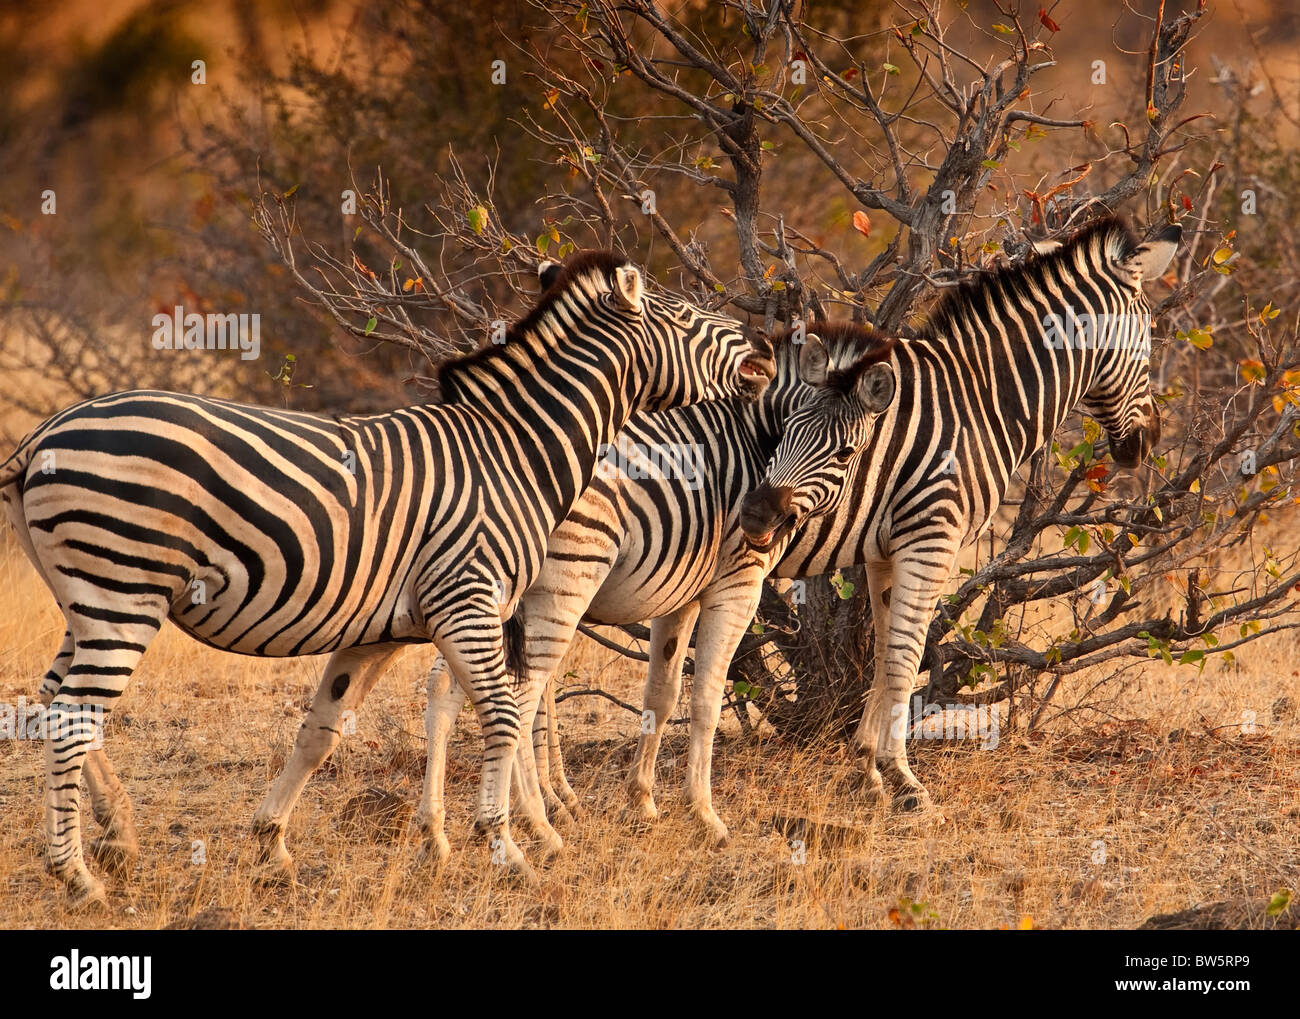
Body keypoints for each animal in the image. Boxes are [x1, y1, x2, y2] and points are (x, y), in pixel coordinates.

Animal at [0, 249, 774, 906]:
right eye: (686, 317)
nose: (766, 352)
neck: (514, 451)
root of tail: (44, 434)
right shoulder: (469, 599)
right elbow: (504, 712)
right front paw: (506, 848)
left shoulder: (381, 630)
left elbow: (322, 730)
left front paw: (272, 845)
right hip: (124, 589)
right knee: (74, 714)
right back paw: (77, 876)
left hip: (87, 598)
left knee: (51, 695)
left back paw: (118, 835)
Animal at [414, 322, 897, 851]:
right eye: (788, 434)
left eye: (845, 452)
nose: (754, 517)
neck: (749, 438)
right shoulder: (737, 583)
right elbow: (706, 698)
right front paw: (704, 814)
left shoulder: (679, 592)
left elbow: (661, 696)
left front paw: (643, 802)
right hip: (563, 578)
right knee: (520, 695)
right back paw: (536, 819)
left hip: (489, 589)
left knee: (448, 687)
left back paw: (439, 828)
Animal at [524, 215, 1181, 839]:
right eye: (1149, 343)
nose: (1146, 442)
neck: (976, 405)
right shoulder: (930, 537)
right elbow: (904, 654)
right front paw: (904, 782)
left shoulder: (887, 550)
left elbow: (889, 648)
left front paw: (870, 768)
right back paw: (554, 803)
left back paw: (560, 801)